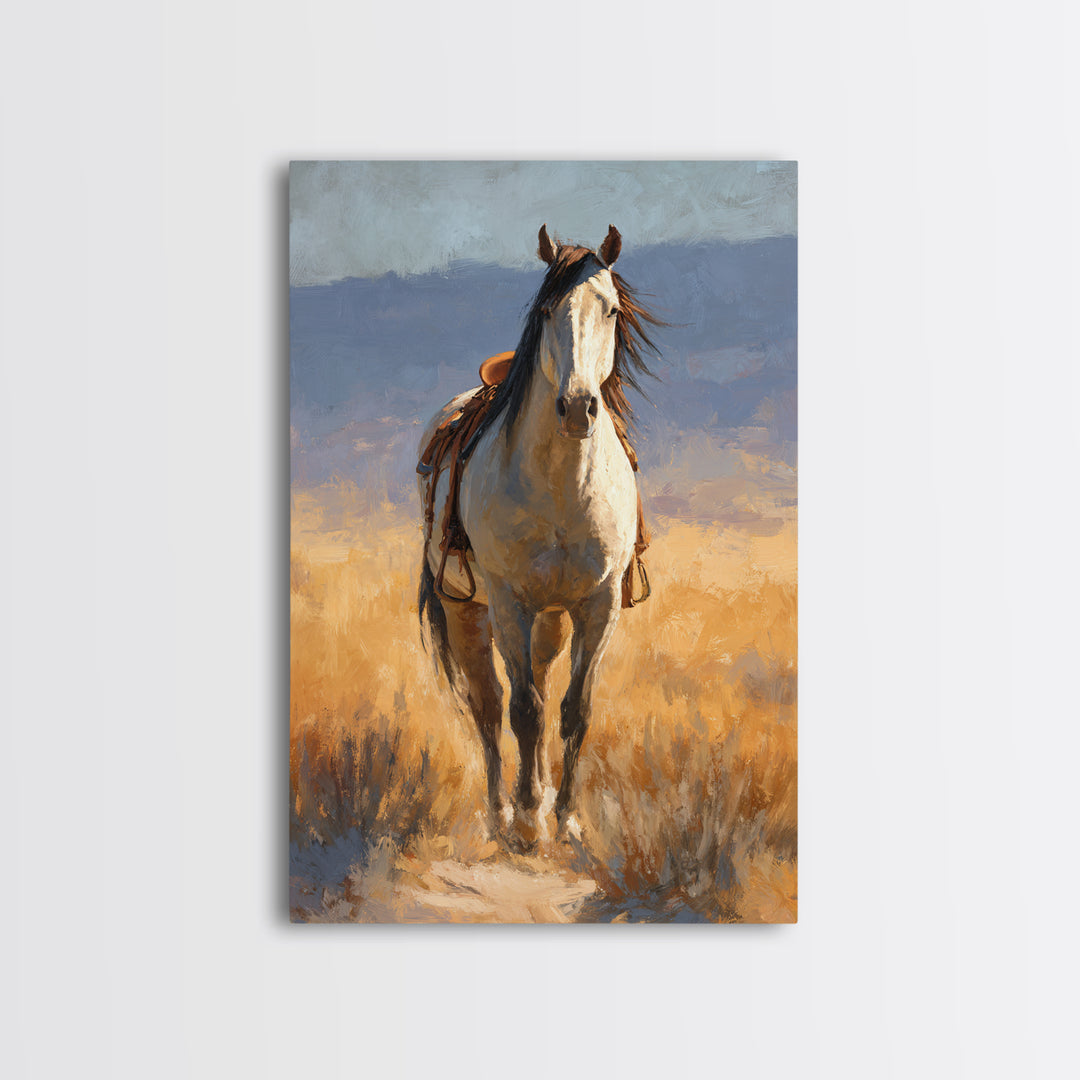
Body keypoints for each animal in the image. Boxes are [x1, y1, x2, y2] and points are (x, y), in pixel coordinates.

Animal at [417, 224, 662, 849]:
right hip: (468, 611)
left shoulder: (599, 604)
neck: (562, 486)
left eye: (611, 309)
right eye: (548, 309)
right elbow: (522, 709)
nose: (577, 408)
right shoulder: (510, 602)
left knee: (545, 688)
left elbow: (575, 709)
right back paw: (501, 812)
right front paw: (528, 820)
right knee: (488, 705)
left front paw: (567, 816)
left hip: (552, 618)